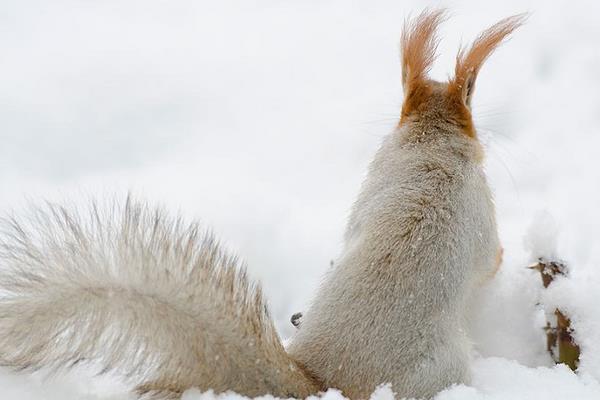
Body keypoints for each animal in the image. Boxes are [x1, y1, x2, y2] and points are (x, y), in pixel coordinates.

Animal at [0, 9, 524, 400]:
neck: (430, 143)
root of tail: (325, 381)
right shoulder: (480, 210)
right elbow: (490, 256)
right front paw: (505, 259)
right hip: (442, 366)